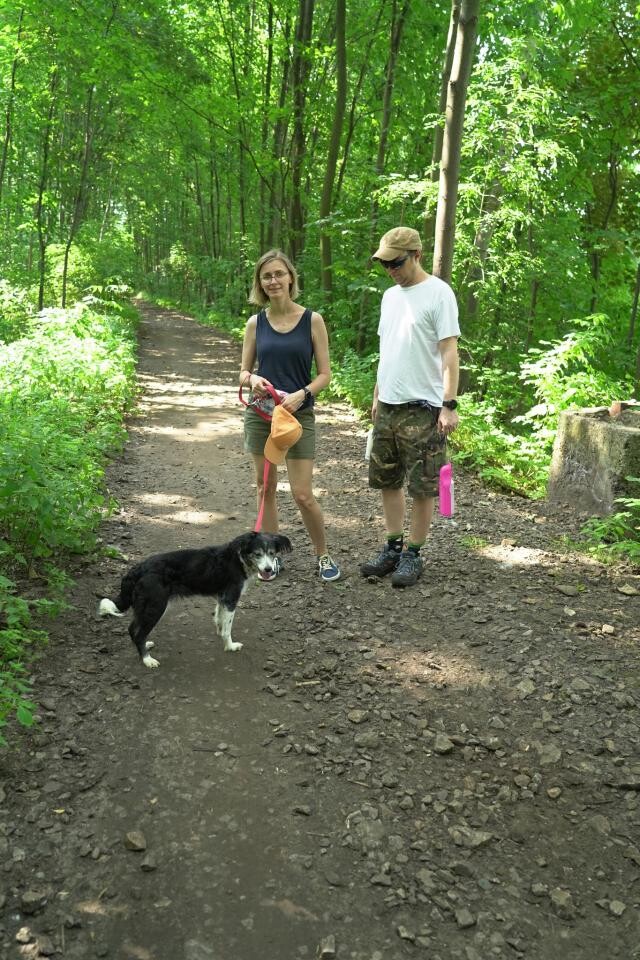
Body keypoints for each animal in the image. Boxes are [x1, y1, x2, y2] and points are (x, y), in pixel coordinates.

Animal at [98, 531, 292, 668]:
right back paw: (147, 660)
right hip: (156, 606)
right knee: (138, 633)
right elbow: (228, 628)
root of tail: (137, 569)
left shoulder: (222, 598)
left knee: (132, 629)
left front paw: (219, 631)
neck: (239, 559)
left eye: (272, 553)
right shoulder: (231, 598)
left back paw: (146, 646)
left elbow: (219, 618)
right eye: (257, 554)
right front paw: (230, 646)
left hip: (145, 607)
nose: (268, 570)